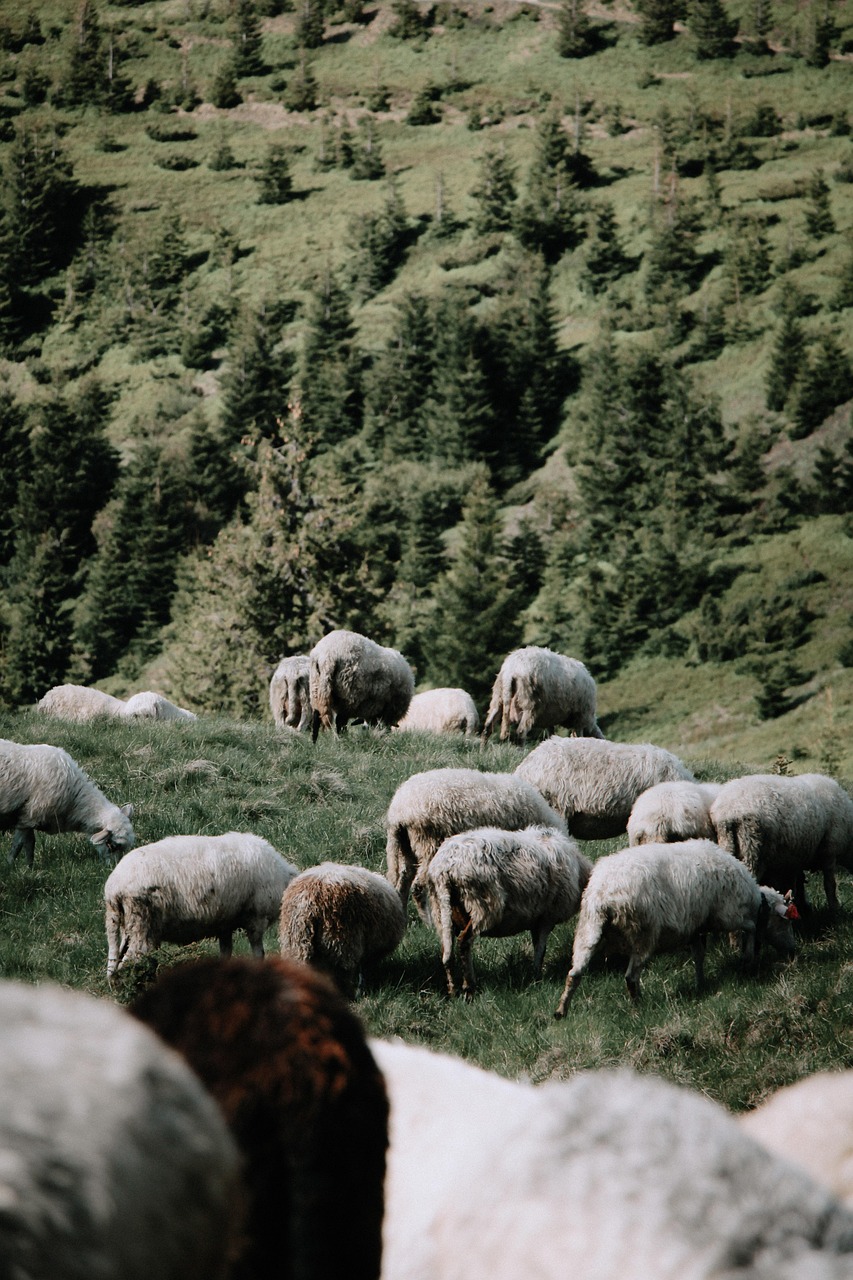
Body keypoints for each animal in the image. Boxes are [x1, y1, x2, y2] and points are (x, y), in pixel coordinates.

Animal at [0, 738, 135, 867]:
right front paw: (11, 864)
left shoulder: (29, 818)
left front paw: (29, 866)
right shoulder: (29, 816)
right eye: (113, 846)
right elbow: (20, 844)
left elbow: (29, 843)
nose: (114, 867)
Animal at [105, 831, 298, 980]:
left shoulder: (224, 923)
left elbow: (226, 952)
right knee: (129, 962)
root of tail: (114, 887)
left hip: (125, 924)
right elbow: (259, 953)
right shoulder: (256, 919)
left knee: (116, 960)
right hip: (143, 924)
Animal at [423, 825, 592, 997]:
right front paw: (537, 976)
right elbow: (541, 949)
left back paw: (452, 989)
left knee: (446, 948)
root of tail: (444, 868)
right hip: (481, 905)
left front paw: (535, 974)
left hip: (441, 908)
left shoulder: (537, 918)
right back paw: (469, 986)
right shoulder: (547, 917)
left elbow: (537, 945)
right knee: (464, 941)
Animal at [554, 839, 797, 1013]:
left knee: (574, 973)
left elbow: (699, 955)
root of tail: (604, 895)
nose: (794, 951)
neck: (754, 901)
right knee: (630, 977)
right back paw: (639, 1007)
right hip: (643, 933)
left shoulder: (695, 928)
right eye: (785, 922)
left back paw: (561, 1010)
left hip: (588, 929)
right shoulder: (729, 915)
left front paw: (701, 984)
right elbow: (752, 928)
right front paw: (748, 958)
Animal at [710, 772, 853, 913]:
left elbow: (798, 882)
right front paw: (835, 909)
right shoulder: (829, 851)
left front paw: (801, 905)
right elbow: (830, 884)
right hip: (752, 848)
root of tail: (729, 810)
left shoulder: (796, 856)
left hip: (728, 842)